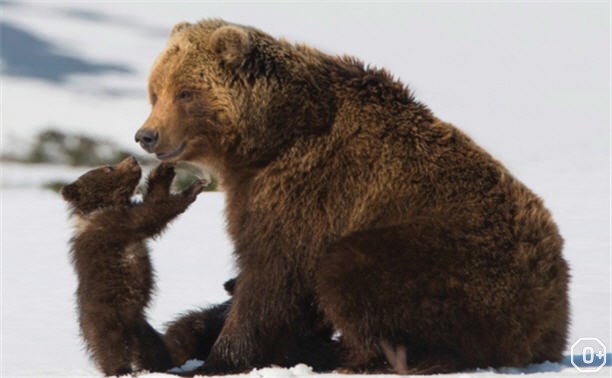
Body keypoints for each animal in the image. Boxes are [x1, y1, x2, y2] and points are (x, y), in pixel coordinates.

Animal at [134, 19, 568, 374]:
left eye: (185, 92)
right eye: (155, 91)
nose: (147, 135)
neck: (266, 138)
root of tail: (554, 317)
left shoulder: (306, 188)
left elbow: (272, 276)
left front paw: (215, 360)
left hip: (458, 262)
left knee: (351, 271)